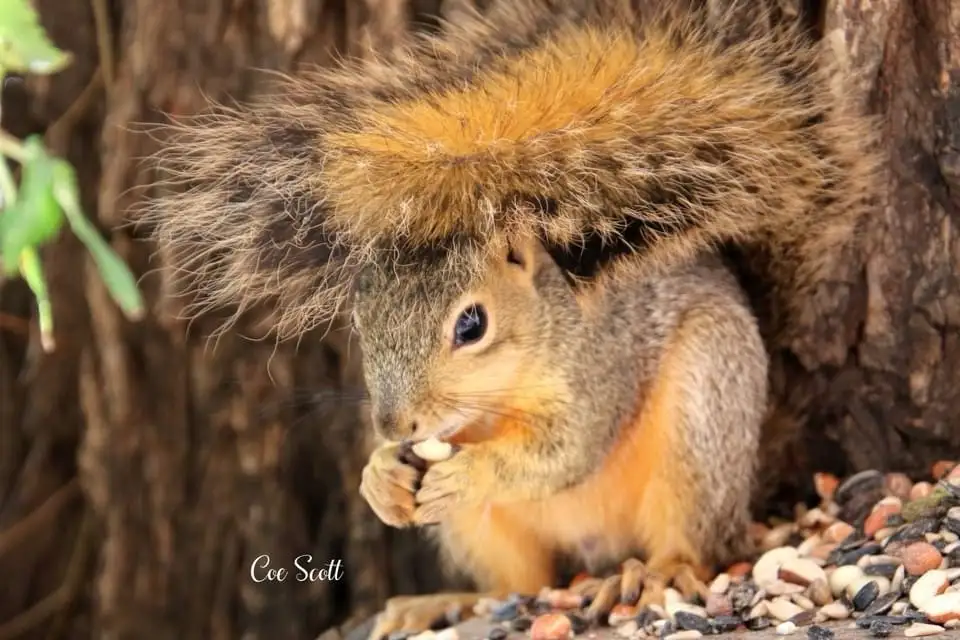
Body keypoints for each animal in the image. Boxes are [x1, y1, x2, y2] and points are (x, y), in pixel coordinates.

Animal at [142, 0, 880, 636]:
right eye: (360, 320)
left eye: (472, 326)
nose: (397, 425)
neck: (507, 387)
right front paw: (379, 476)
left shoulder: (600, 367)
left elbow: (565, 451)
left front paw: (471, 470)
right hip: (483, 533)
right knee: (516, 584)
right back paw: (443, 600)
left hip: (704, 417)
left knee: (695, 541)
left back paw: (651, 574)